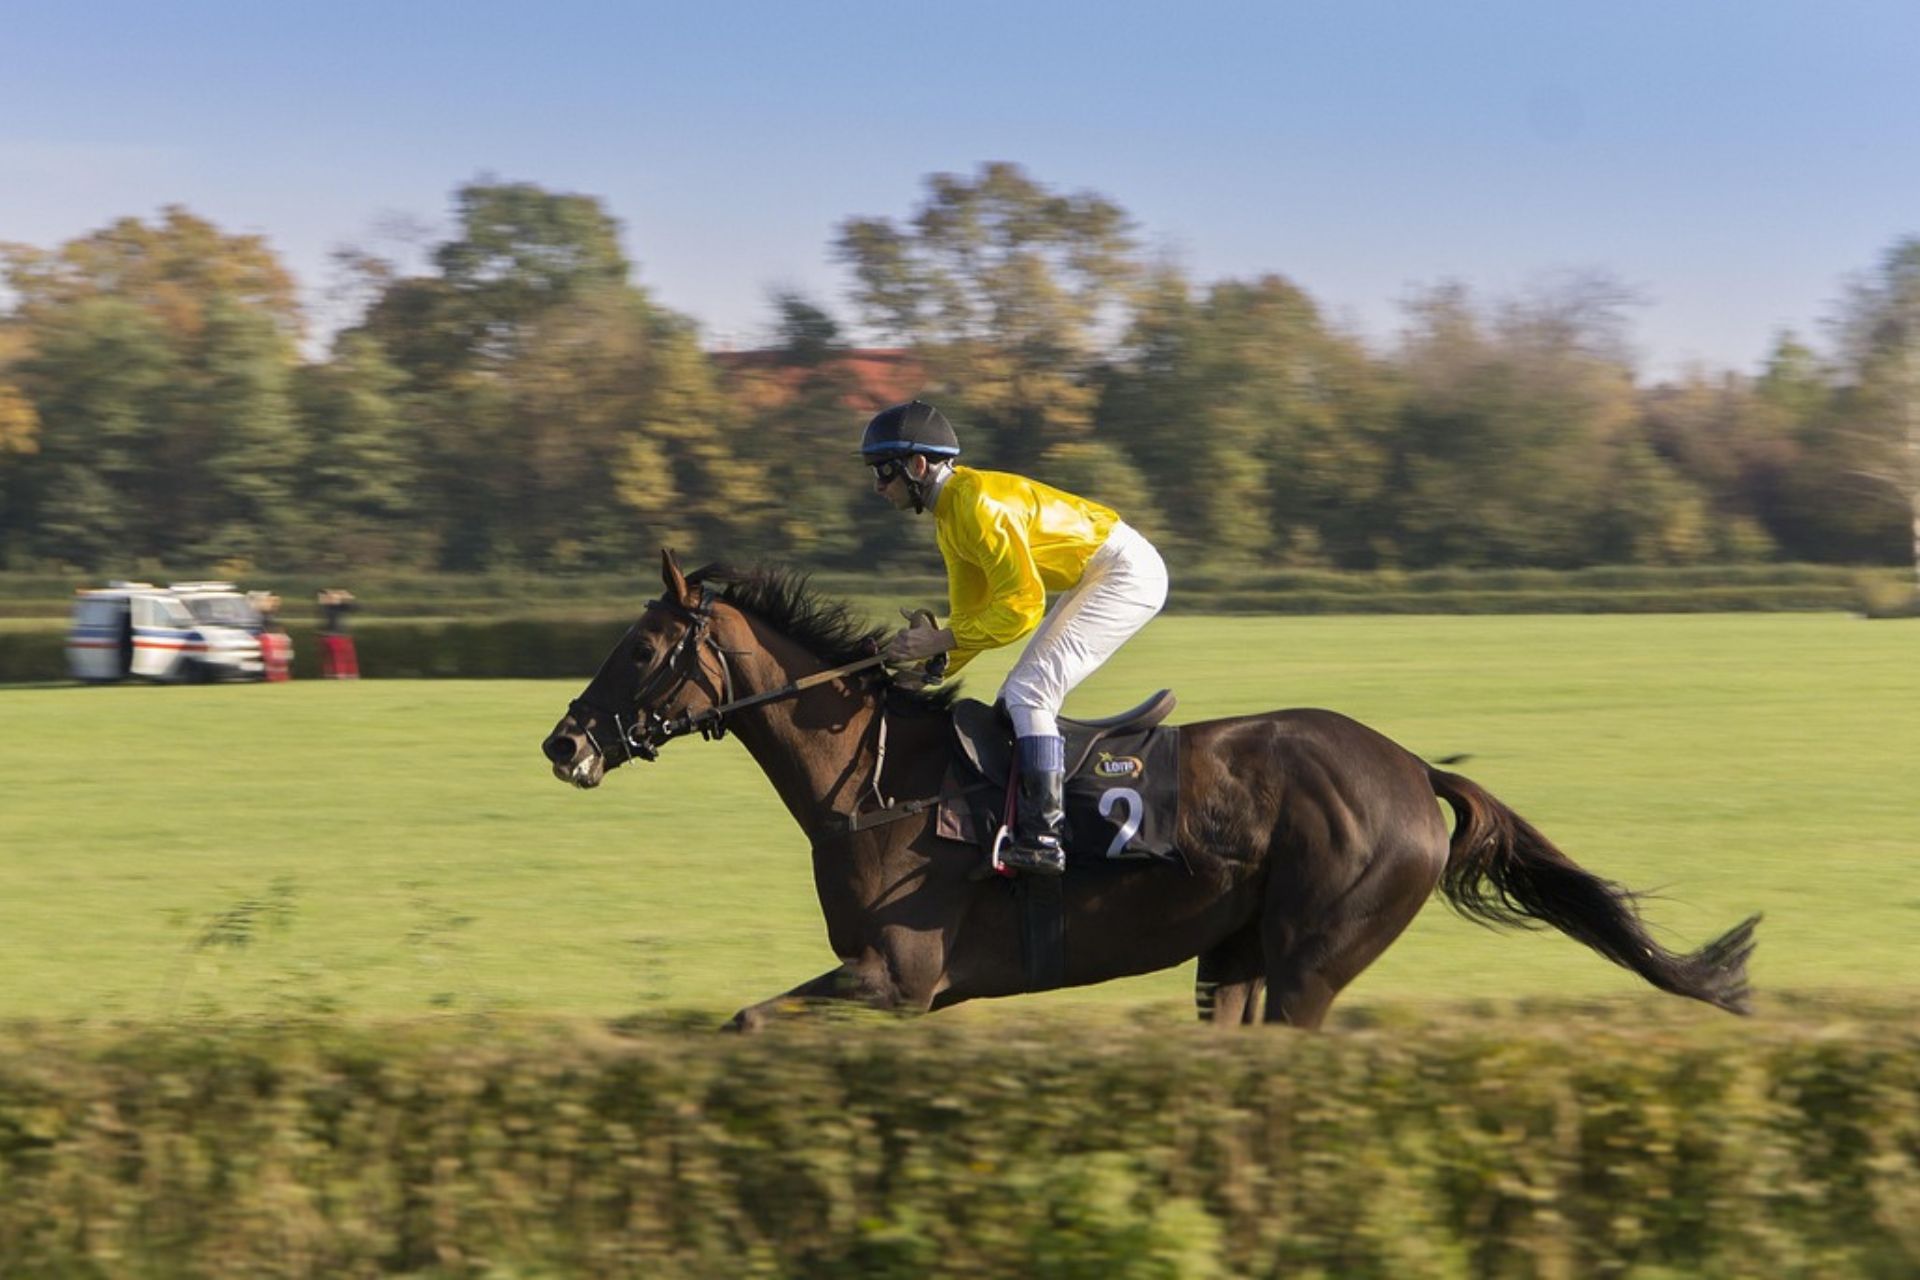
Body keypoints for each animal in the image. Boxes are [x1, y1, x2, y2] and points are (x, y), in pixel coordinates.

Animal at [541, 550, 1759, 1030]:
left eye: (642, 647)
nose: (563, 743)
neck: (878, 778)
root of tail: (1413, 770)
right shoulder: (899, 989)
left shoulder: (897, 976)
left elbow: (748, 1019)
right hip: (1236, 956)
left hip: (1315, 957)